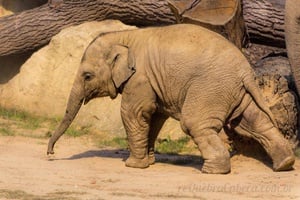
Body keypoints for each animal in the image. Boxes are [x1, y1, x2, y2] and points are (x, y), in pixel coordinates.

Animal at [47, 23, 296, 173]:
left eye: (87, 76)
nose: (50, 154)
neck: (123, 35)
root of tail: (246, 70)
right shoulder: (153, 84)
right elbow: (155, 116)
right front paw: (148, 162)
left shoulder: (140, 78)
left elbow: (134, 113)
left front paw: (132, 166)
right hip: (235, 91)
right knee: (252, 122)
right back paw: (285, 164)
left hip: (211, 88)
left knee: (195, 124)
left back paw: (212, 170)